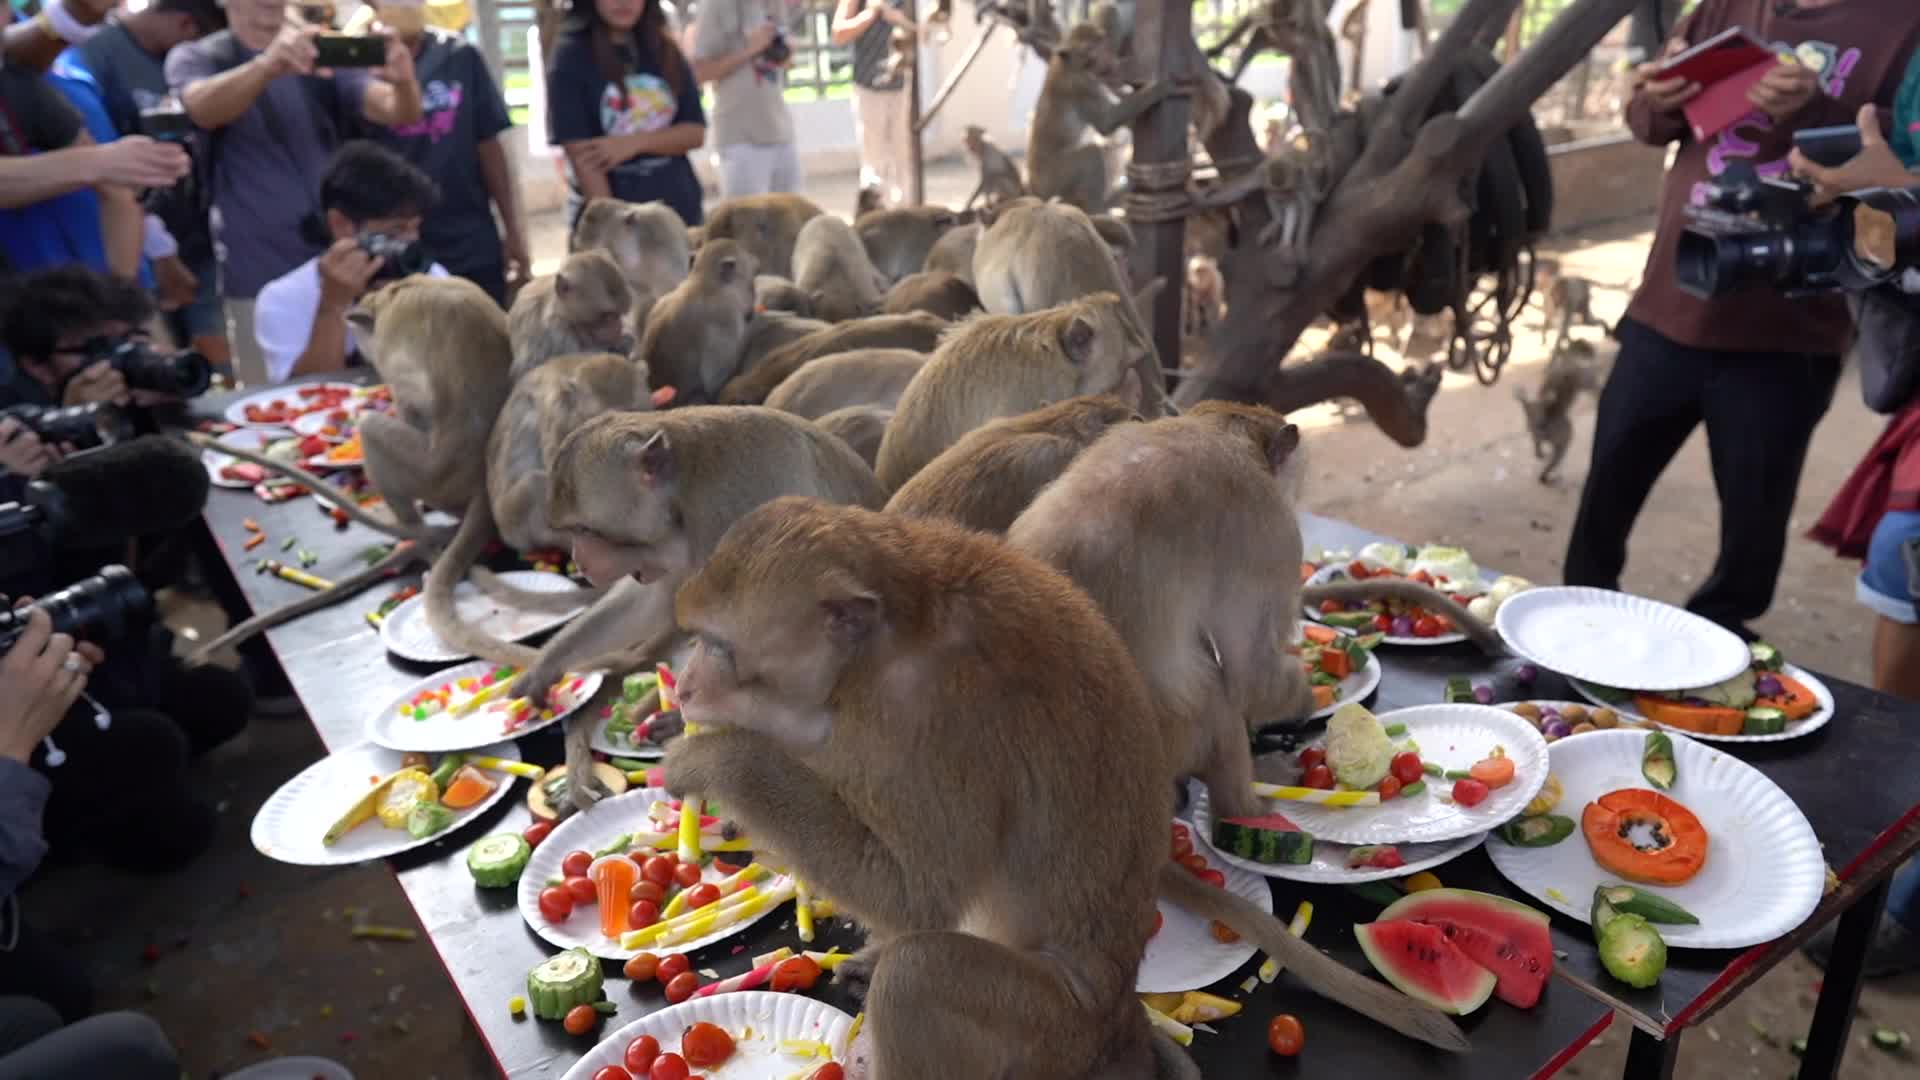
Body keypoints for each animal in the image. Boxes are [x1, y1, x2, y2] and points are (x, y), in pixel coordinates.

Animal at [662, 498, 1471, 1078]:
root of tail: (1116, 1015)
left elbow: (916, 894)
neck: (882, 646)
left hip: (1051, 1035)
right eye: (695, 639)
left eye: (719, 646)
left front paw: (715, 761)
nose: (687, 684)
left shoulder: (927, 721)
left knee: (922, 974)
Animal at [1025, 18, 1171, 212]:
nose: (1106, 59)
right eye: (1090, 50)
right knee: (1091, 154)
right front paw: (1157, 89)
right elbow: (1106, 124)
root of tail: (1035, 189)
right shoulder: (1083, 87)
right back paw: (1099, 207)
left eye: (1101, 42)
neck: (1071, 65)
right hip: (1055, 180)